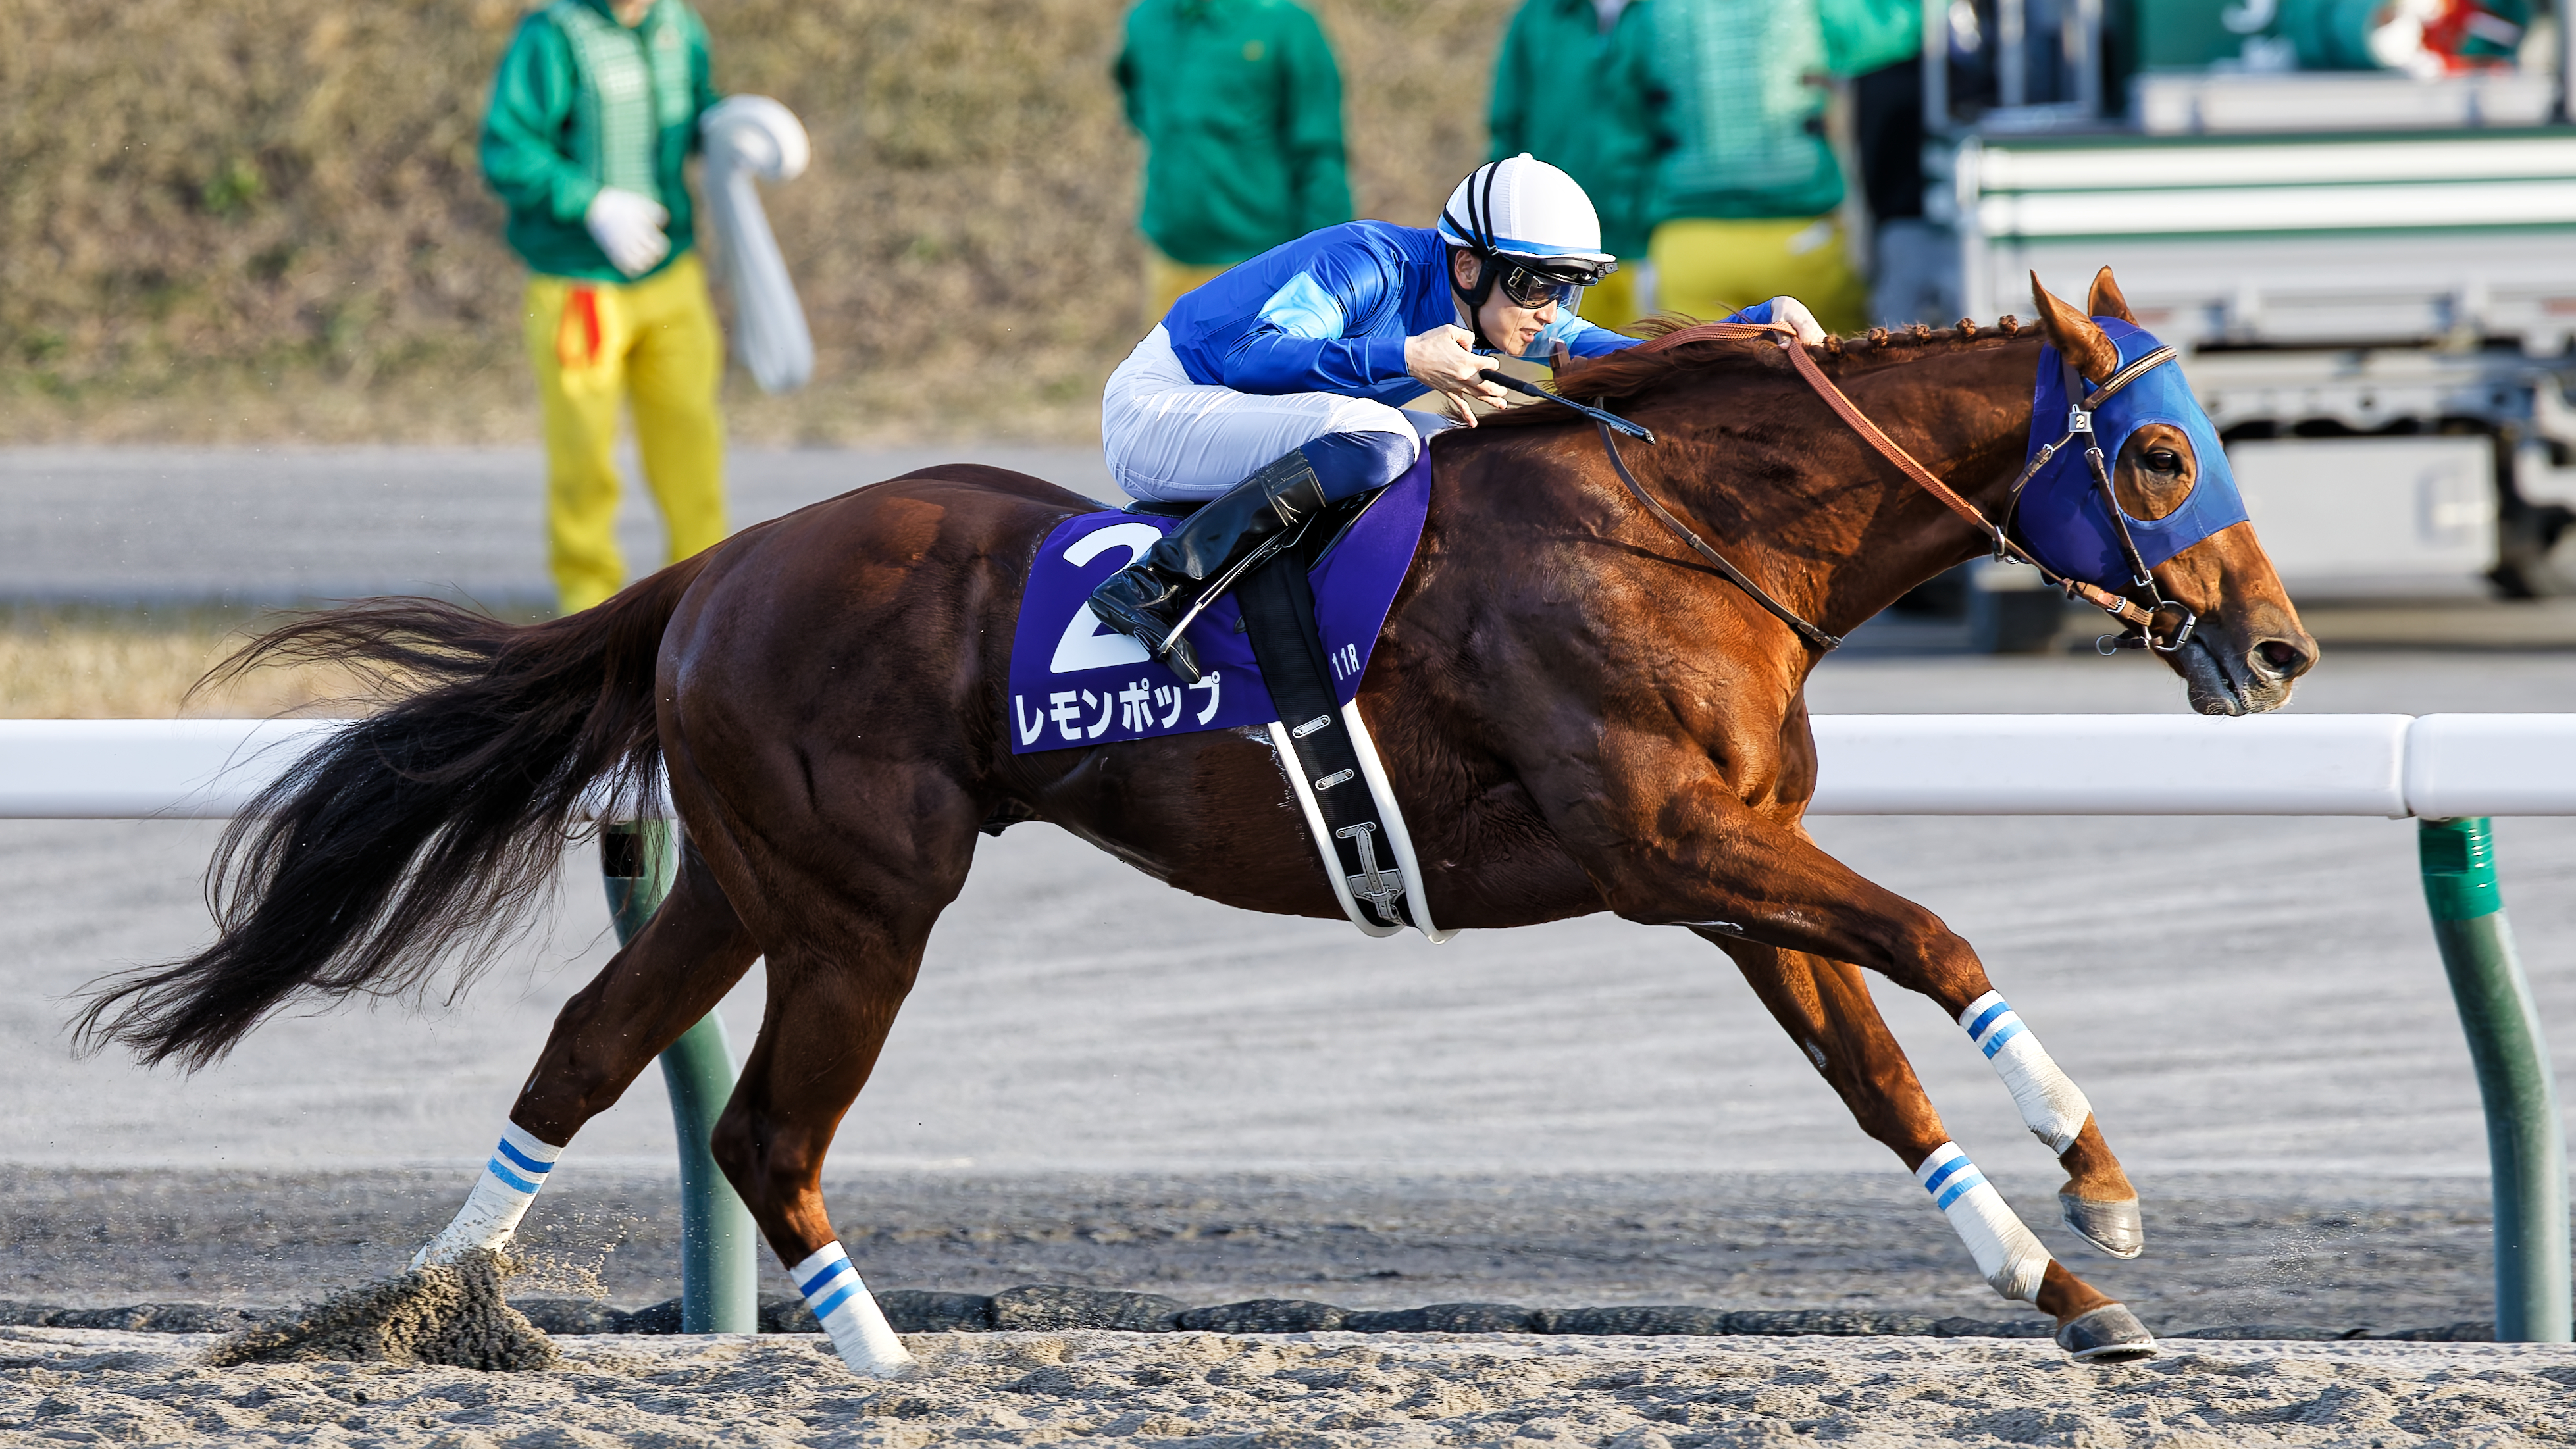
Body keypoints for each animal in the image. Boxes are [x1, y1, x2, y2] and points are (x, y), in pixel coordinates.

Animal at [76, 270, 2316, 1370]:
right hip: (866, 897)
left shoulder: (1715, 873)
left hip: (746, 873)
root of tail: (716, 566)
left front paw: (2061, 1291)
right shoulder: (1662, 840)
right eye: (2156, 452)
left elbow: (1876, 1073)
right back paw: (878, 1373)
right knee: (762, 1126)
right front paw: (2102, 1185)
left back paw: (427, 1313)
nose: (2278, 646)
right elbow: (1940, 937)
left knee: (588, 1049)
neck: (1685, 526)